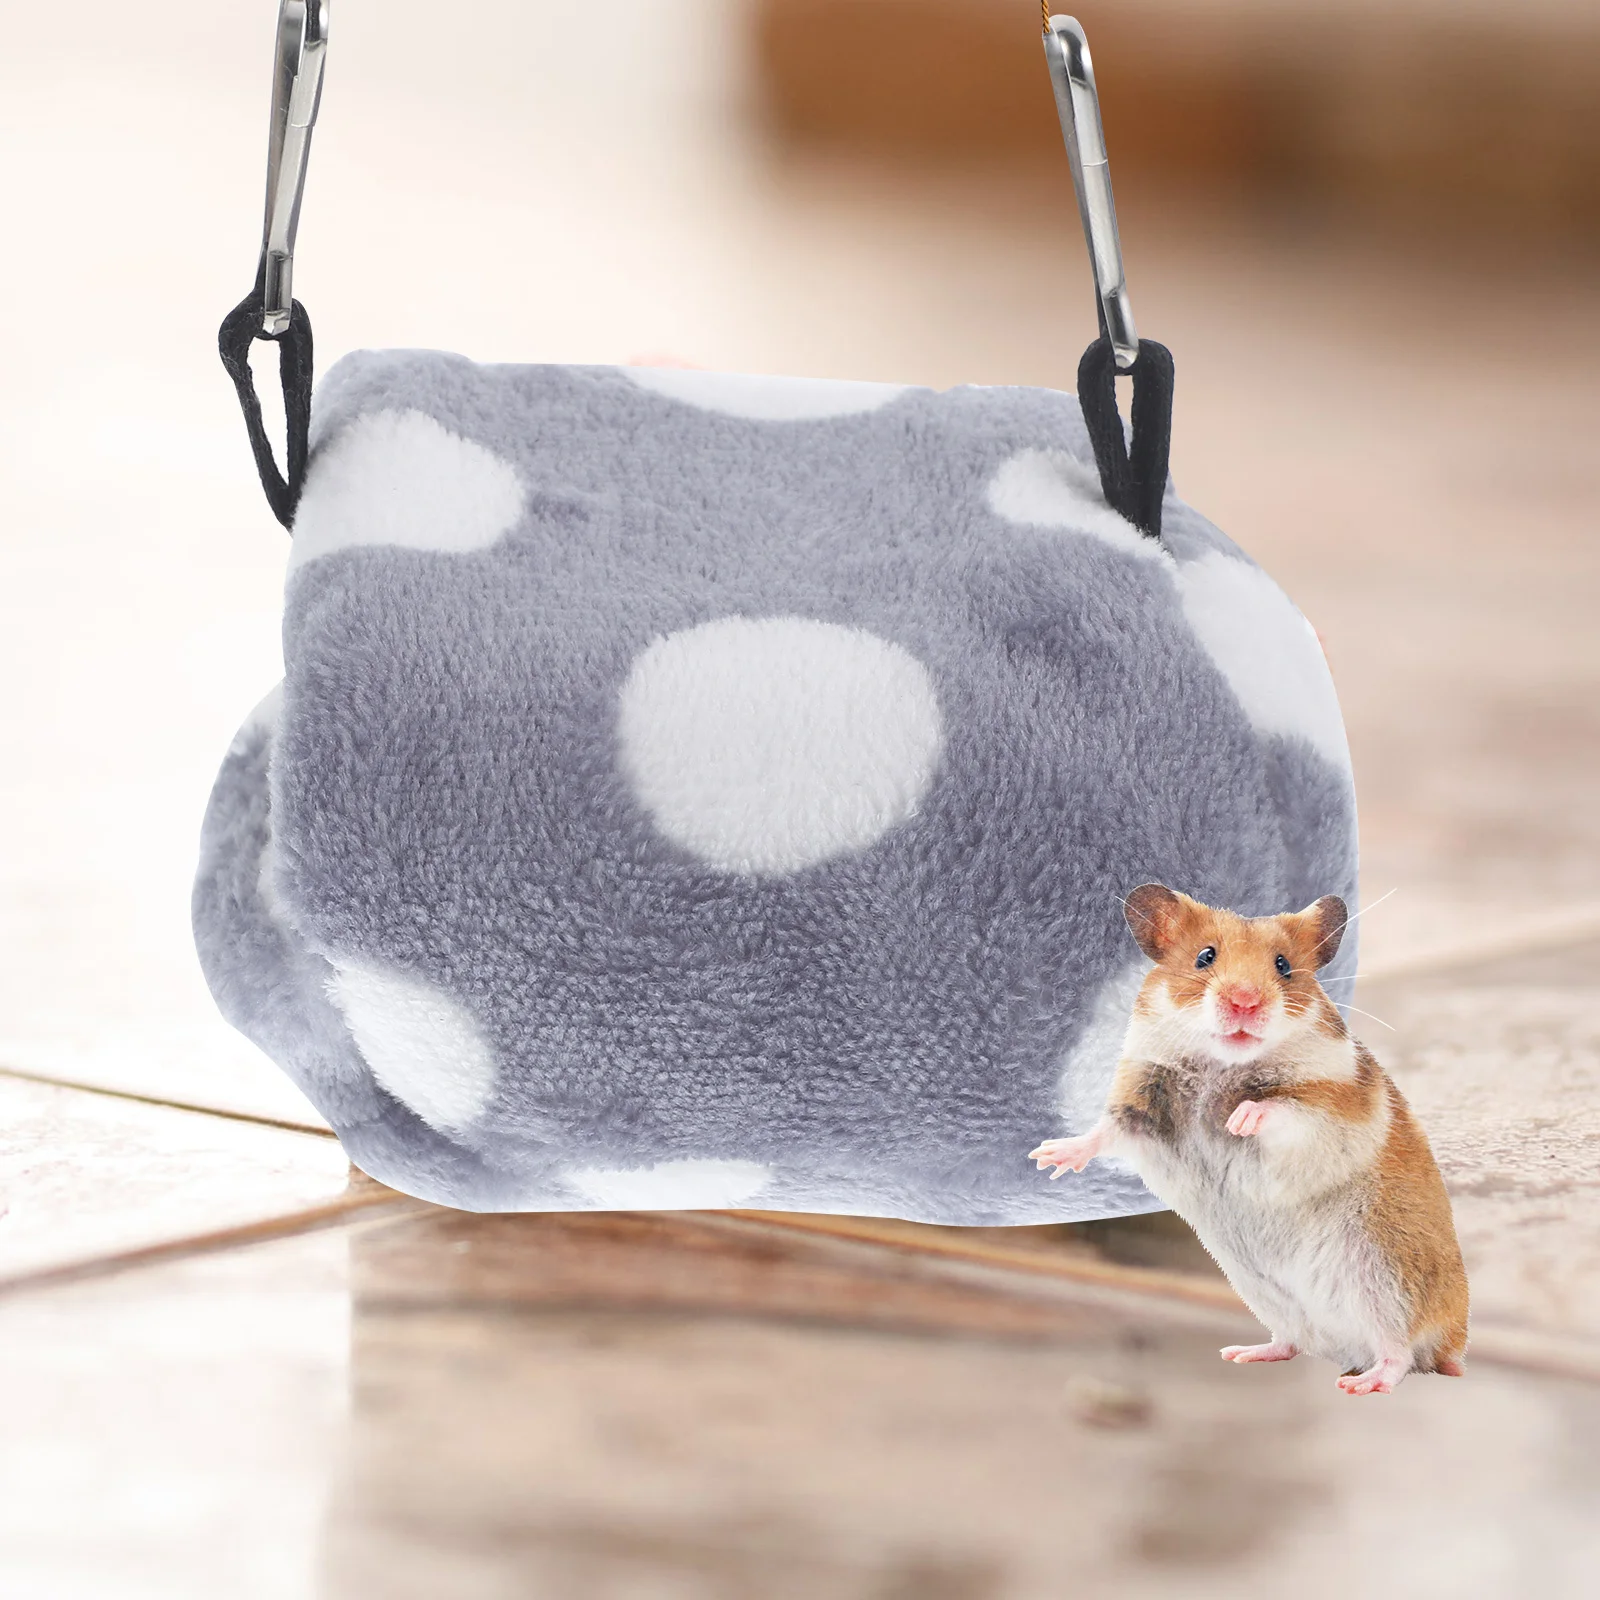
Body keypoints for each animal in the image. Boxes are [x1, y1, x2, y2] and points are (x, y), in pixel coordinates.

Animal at [1030, 884, 1468, 1395]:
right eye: (1204, 957)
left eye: (1283, 965)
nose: (1245, 1002)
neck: (1222, 1063)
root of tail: (1454, 1341)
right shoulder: (1140, 1102)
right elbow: (1106, 1131)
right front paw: (1047, 1158)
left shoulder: (1332, 1108)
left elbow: (1283, 1109)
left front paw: (1239, 1120)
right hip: (1266, 1293)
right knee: (1293, 1342)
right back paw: (1242, 1353)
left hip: (1387, 1280)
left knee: (1401, 1353)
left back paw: (1363, 1383)